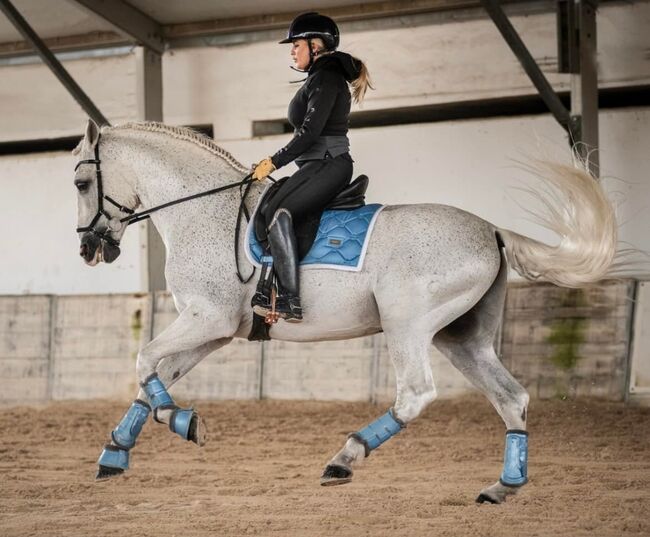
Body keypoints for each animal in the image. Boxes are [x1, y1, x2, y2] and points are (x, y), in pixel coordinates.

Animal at [73, 118, 616, 502]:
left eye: (80, 184)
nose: (89, 250)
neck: (205, 211)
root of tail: (491, 230)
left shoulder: (207, 319)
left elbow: (144, 363)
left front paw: (183, 422)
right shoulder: (214, 331)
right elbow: (152, 377)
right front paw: (115, 454)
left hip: (407, 326)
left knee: (415, 395)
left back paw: (344, 458)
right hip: (461, 338)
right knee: (511, 398)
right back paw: (502, 486)